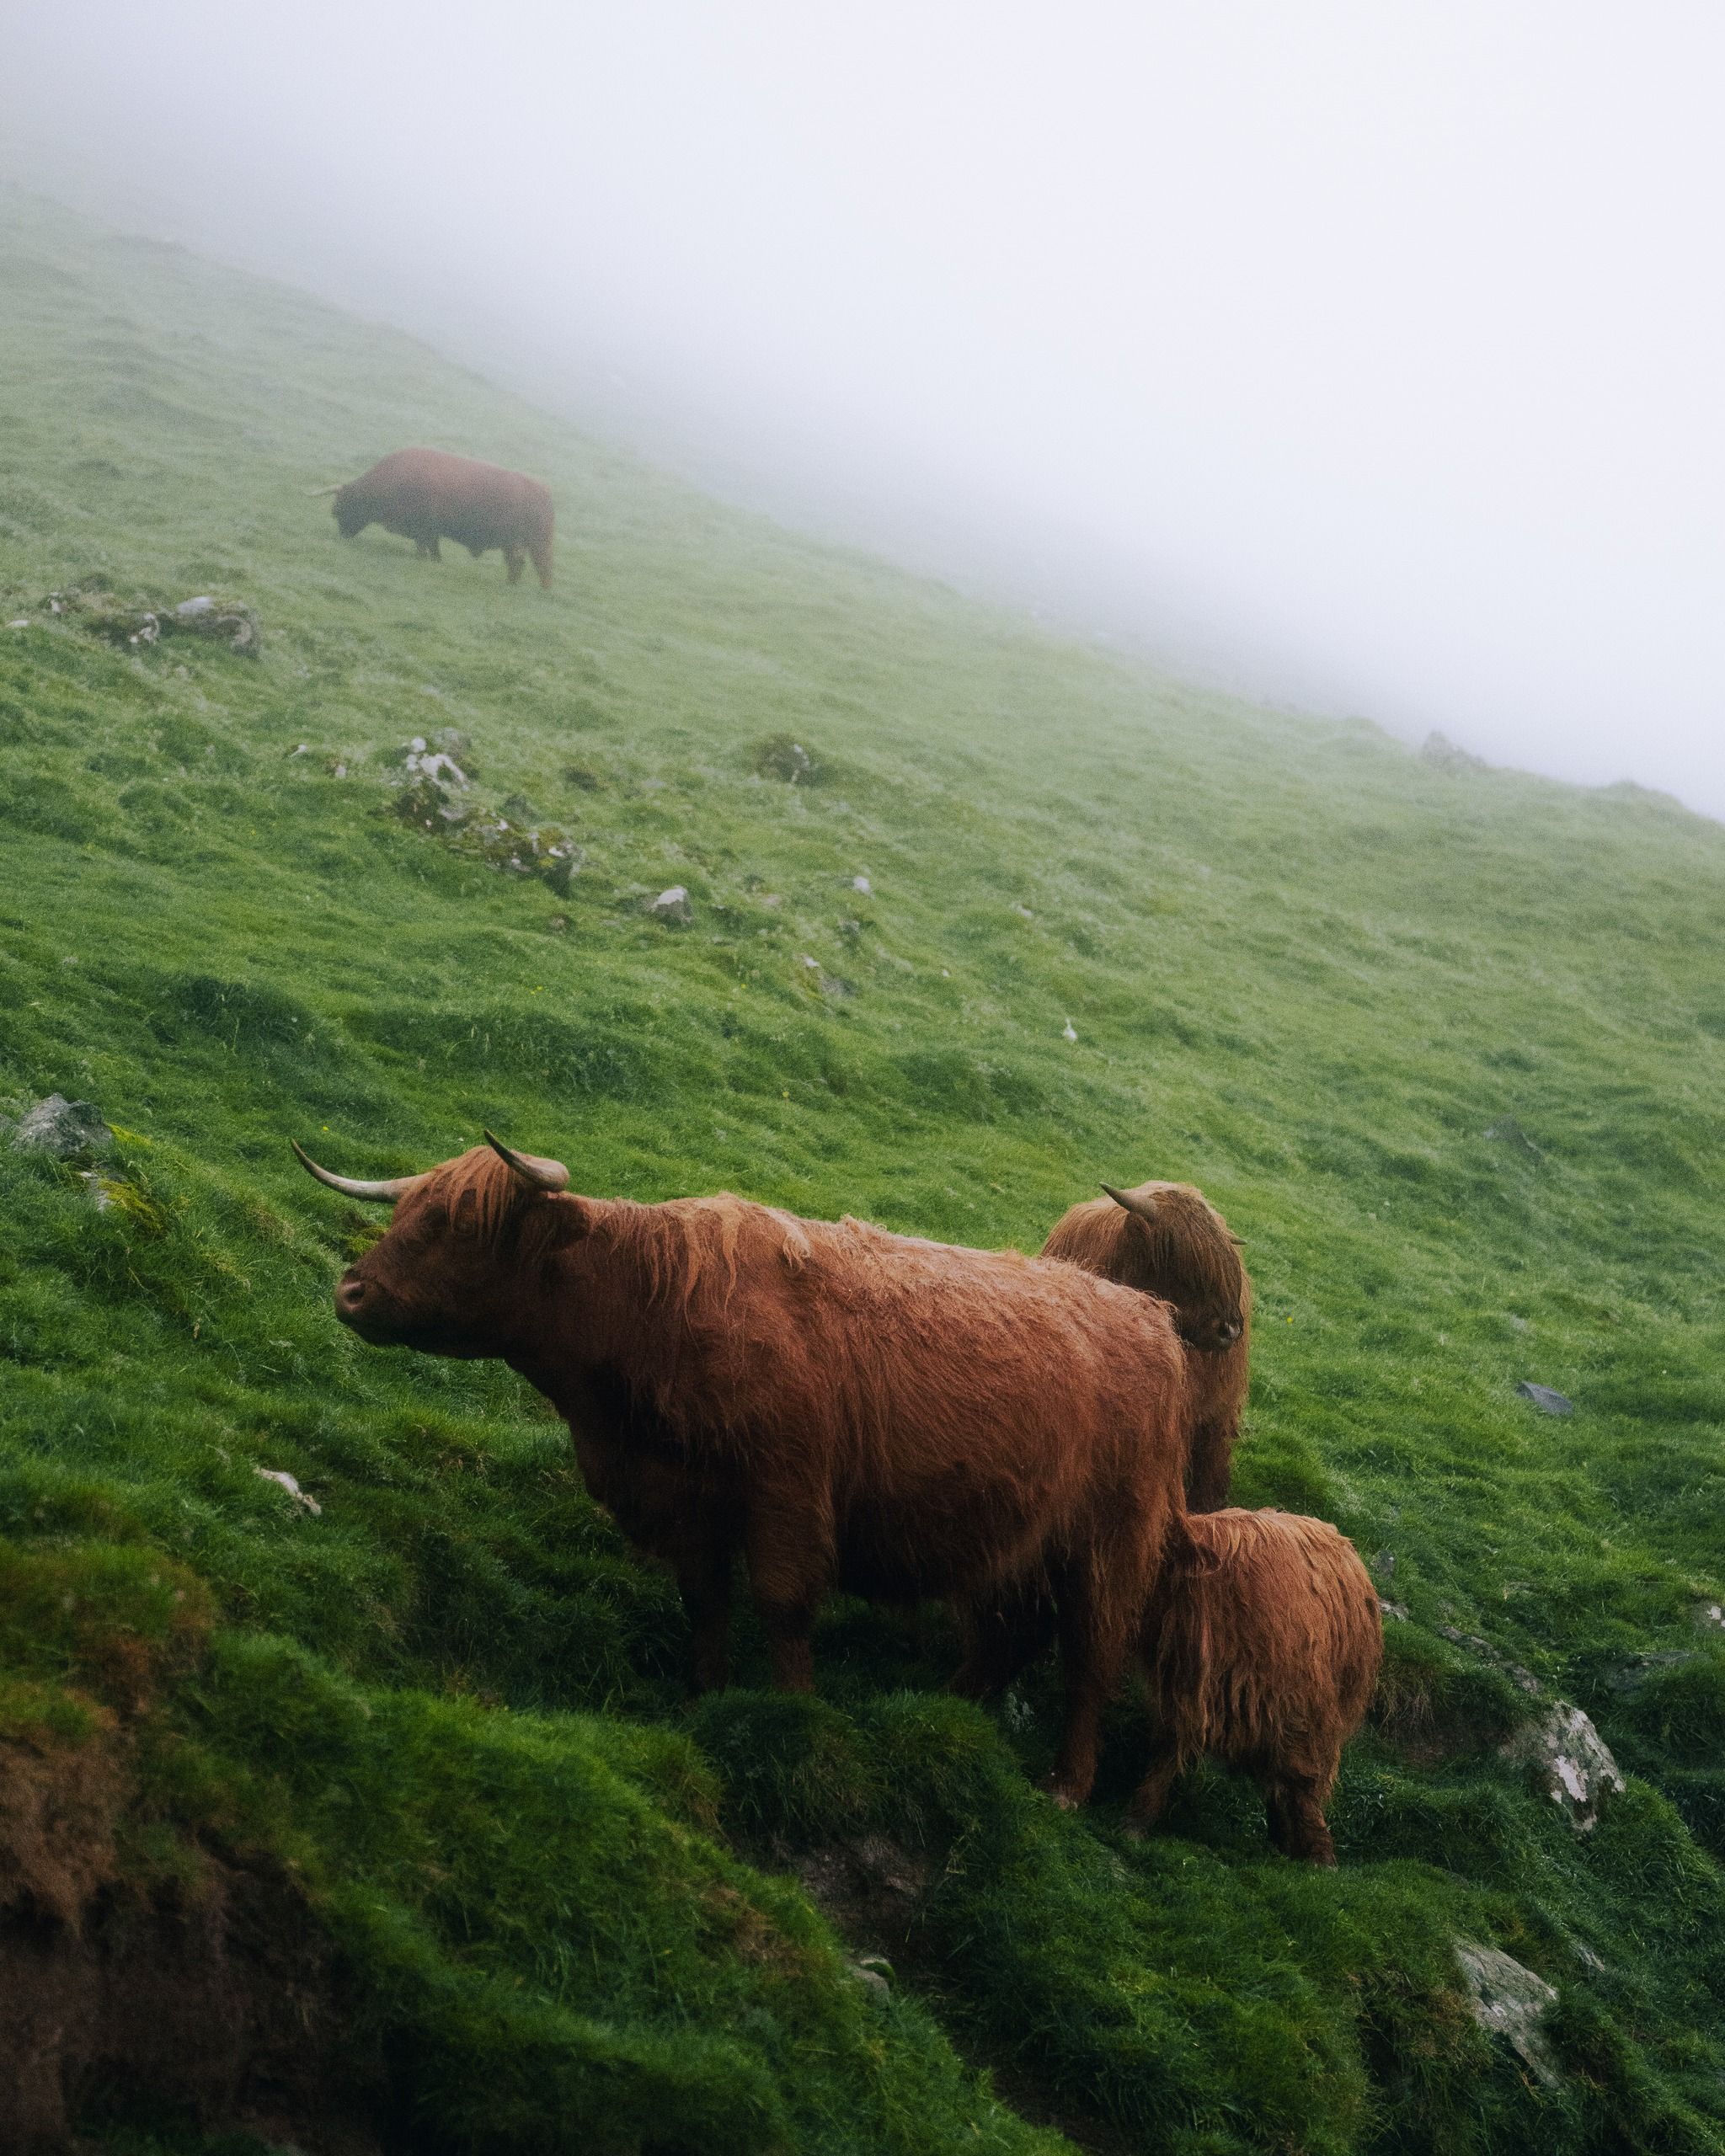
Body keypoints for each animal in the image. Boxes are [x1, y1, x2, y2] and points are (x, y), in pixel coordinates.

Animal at [293, 1134, 1191, 1806]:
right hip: (1022, 1538)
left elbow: (783, 1606)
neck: (647, 1321)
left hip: (1111, 1542)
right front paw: (706, 1697)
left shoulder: (785, 1491)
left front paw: (796, 1717)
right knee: (1014, 1633)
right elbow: (705, 1602)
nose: (351, 1292)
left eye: (459, 1223)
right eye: (407, 1210)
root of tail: (1150, 1317)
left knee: (1092, 1657)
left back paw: (1066, 1786)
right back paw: (944, 1709)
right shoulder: (684, 1501)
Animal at [323, 448, 555, 587]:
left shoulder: (427, 529)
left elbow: (429, 547)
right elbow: (428, 547)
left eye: (345, 504)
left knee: (535, 566)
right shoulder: (427, 531)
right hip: (517, 545)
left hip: (529, 544)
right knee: (524, 564)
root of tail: (543, 492)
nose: (342, 533)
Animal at [1127, 1508, 1382, 1863]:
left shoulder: (1298, 1703)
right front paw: (1137, 1819)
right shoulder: (1185, 1690)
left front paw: (1321, 1855)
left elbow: (1302, 1776)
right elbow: (1167, 1750)